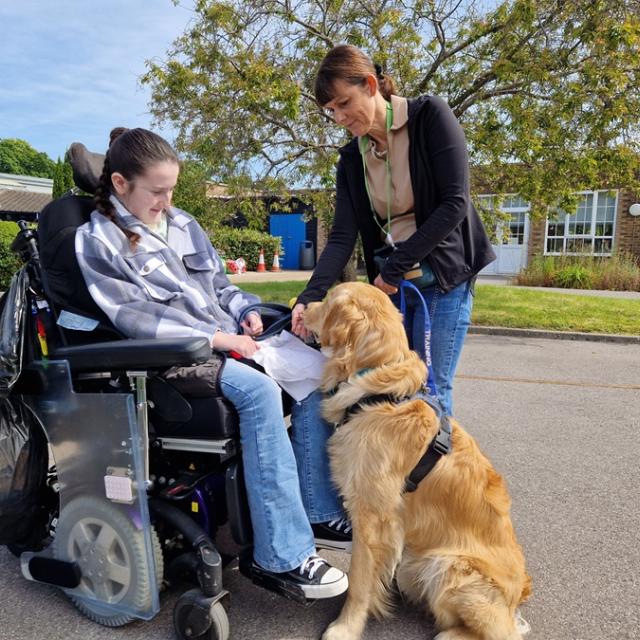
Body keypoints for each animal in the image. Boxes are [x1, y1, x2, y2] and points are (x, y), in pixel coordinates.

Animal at [304, 282, 528, 636]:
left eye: (326, 302)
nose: (301, 307)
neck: (376, 388)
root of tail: (516, 598)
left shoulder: (371, 515)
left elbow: (359, 582)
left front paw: (345, 628)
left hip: (448, 565)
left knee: (500, 633)